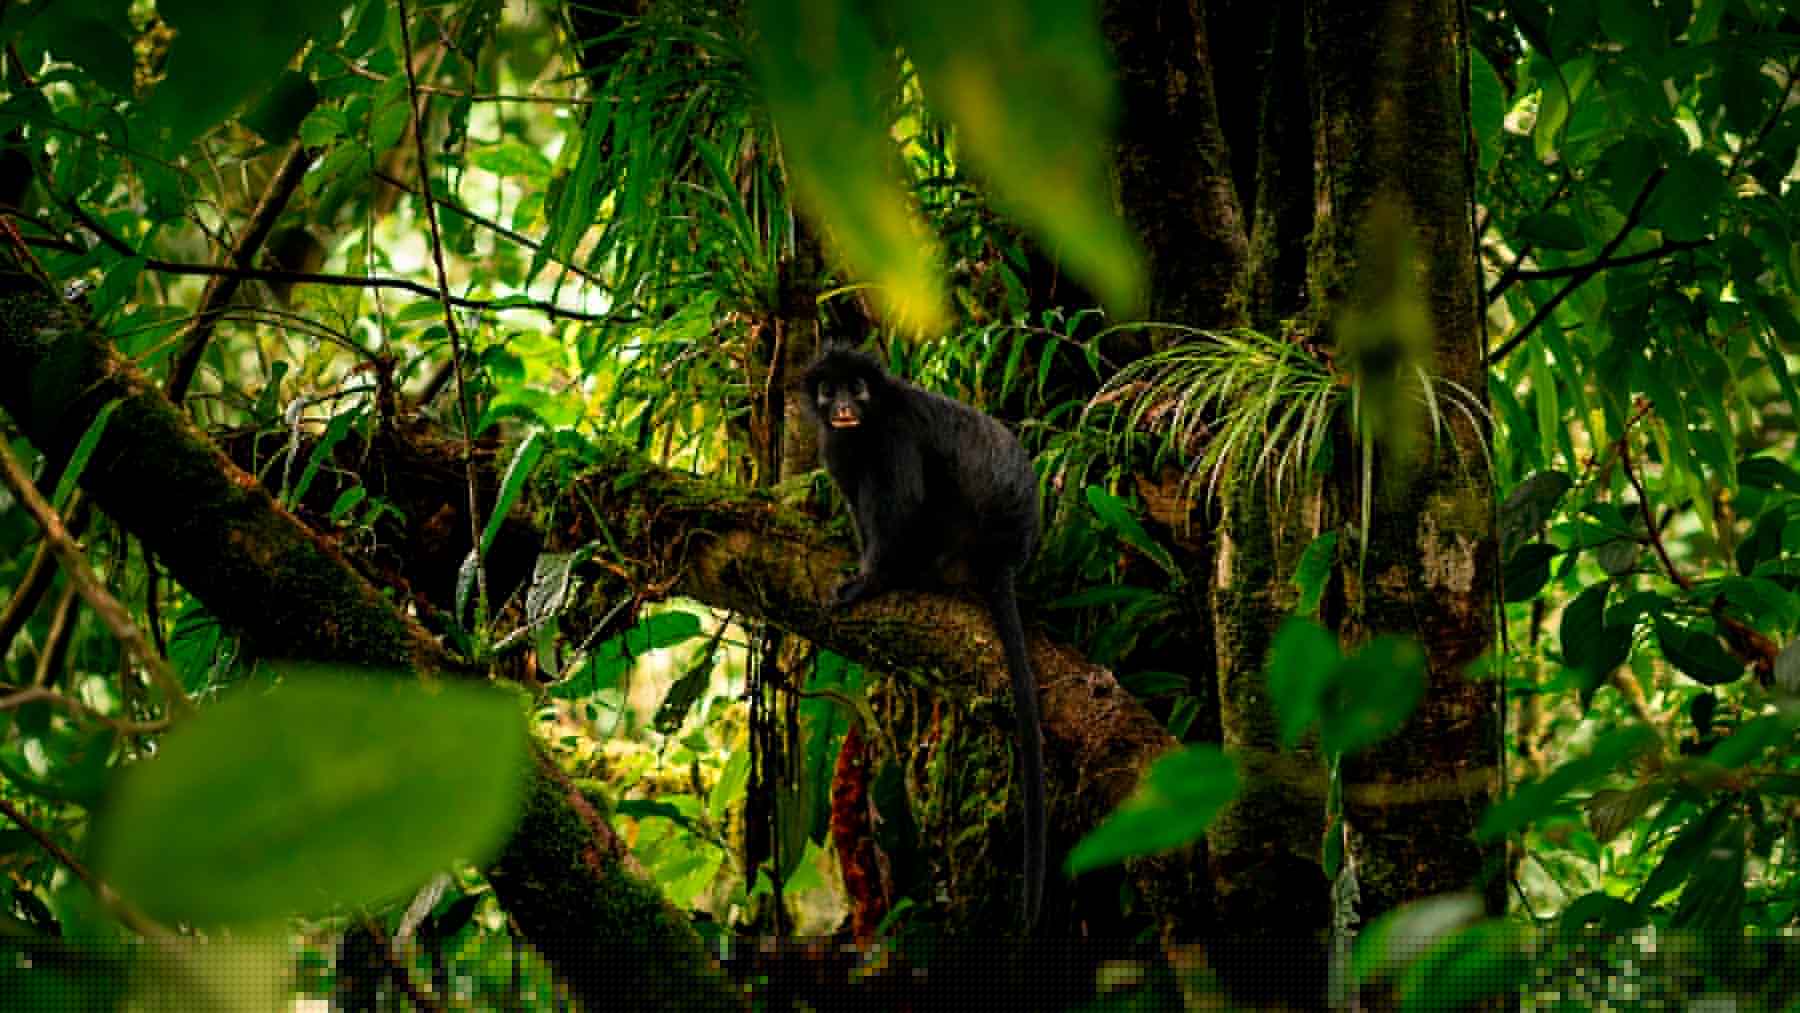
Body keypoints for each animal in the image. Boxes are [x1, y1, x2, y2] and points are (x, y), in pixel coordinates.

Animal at [802, 344, 1046, 929]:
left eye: (857, 388)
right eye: (829, 390)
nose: (842, 406)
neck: (866, 424)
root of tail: (1002, 557)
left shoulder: (894, 433)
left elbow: (900, 504)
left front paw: (869, 581)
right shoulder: (837, 444)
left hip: (953, 538)